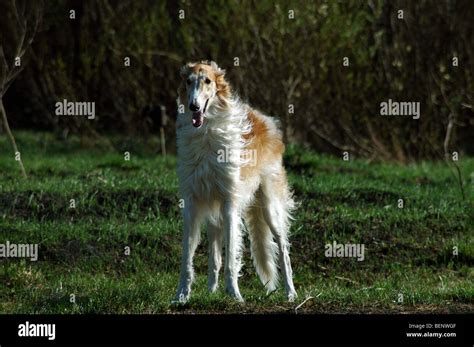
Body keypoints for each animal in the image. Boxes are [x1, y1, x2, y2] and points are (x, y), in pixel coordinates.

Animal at [174, 61, 296, 304]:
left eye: (208, 81)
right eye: (188, 81)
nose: (193, 107)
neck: (206, 132)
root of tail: (264, 119)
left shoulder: (229, 203)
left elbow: (231, 259)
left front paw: (235, 295)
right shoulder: (192, 203)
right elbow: (187, 259)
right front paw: (182, 295)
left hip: (269, 206)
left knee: (283, 249)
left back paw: (291, 292)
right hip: (214, 216)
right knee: (215, 259)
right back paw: (211, 292)